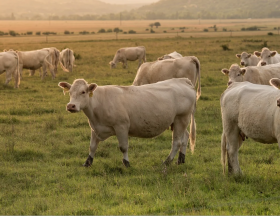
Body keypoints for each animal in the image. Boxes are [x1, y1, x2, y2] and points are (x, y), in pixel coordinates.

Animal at [58, 78, 196, 168]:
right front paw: (87, 162)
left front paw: (126, 163)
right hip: (177, 122)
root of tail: (182, 80)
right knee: (185, 137)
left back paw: (167, 162)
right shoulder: (95, 128)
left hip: (181, 118)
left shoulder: (121, 126)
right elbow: (92, 146)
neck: (99, 102)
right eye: (70, 92)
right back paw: (181, 160)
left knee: (176, 142)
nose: (71, 106)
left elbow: (123, 147)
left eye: (83, 92)